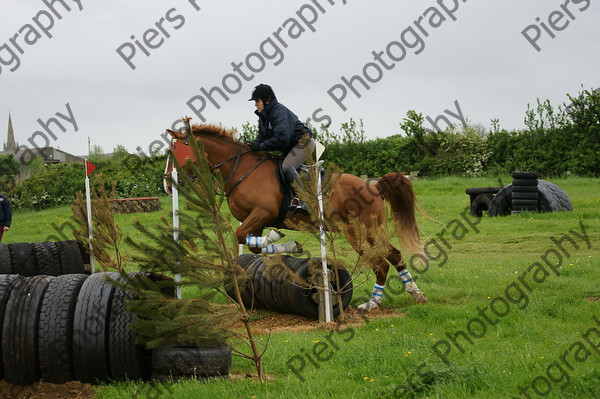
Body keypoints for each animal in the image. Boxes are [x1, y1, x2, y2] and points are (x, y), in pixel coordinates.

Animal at [164, 122, 426, 312]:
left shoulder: (261, 214)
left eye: (174, 152)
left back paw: (372, 304)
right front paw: (288, 245)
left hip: (358, 231)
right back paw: (415, 293)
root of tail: (374, 186)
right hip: (371, 231)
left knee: (381, 263)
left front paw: (283, 241)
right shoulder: (255, 221)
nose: (167, 186)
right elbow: (252, 245)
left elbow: (244, 236)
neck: (240, 170)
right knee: (394, 255)